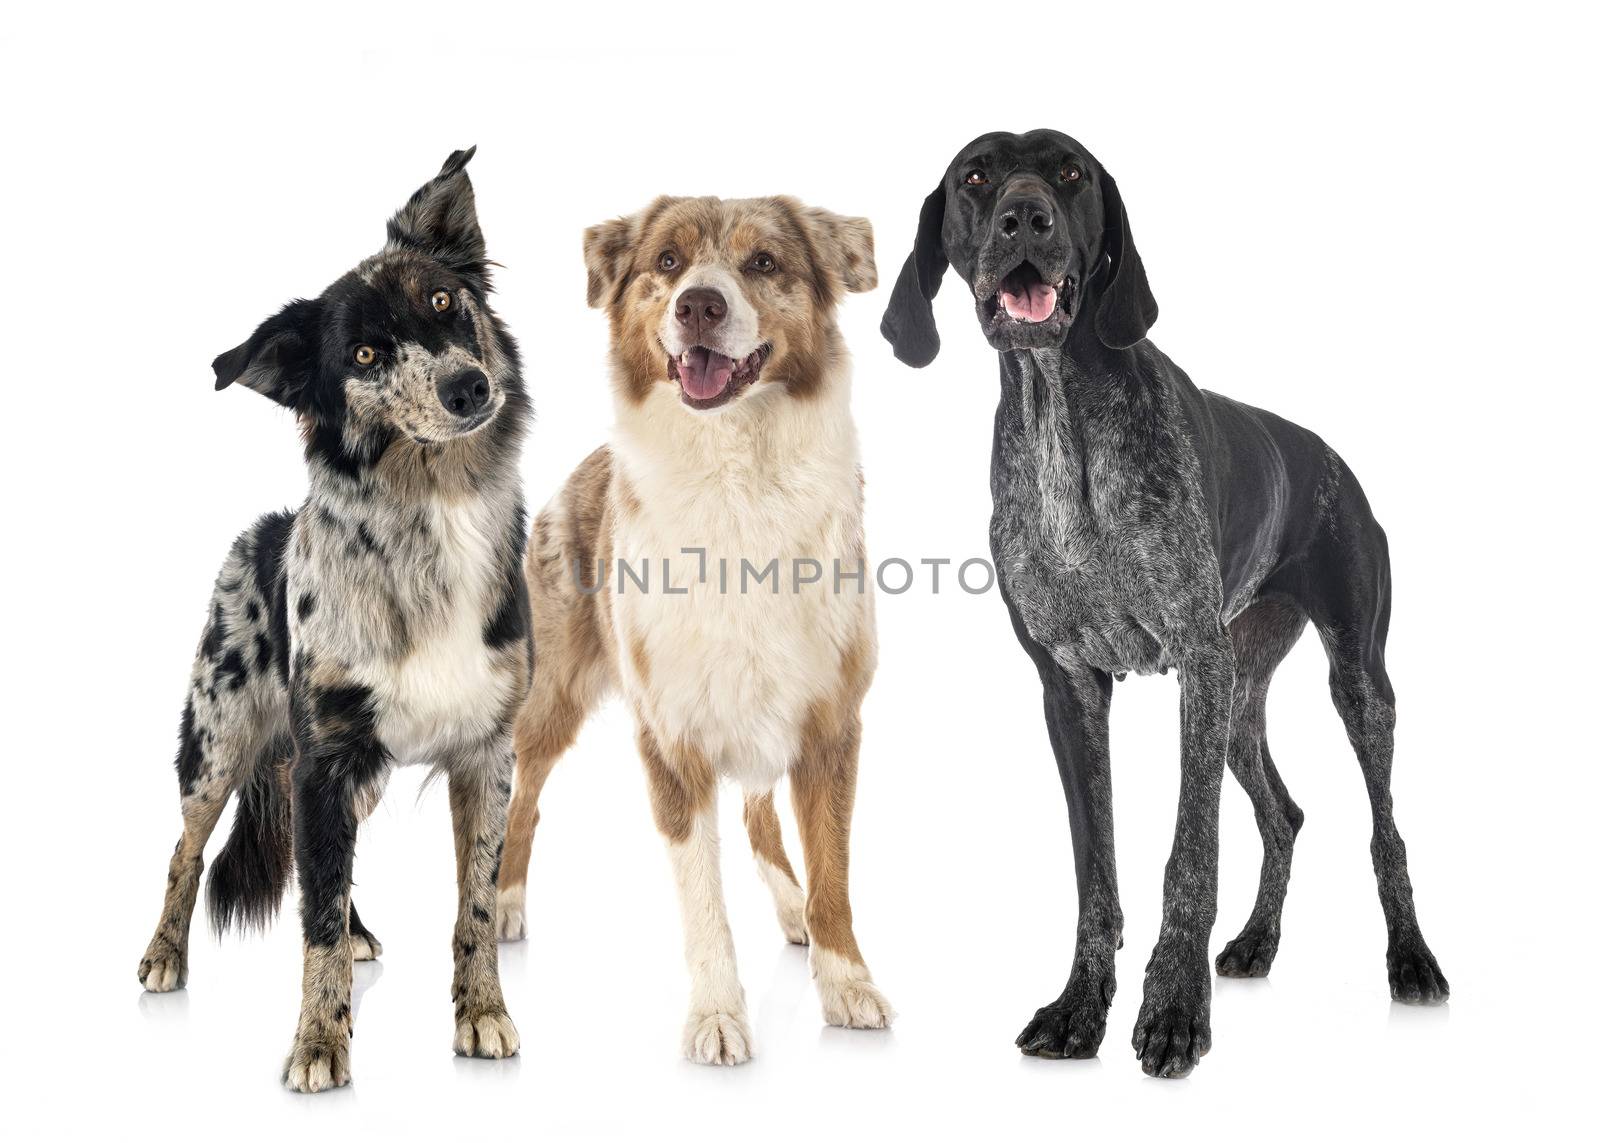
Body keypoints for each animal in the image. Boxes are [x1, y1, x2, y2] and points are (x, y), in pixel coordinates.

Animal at [135, 148, 534, 1088]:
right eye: (363, 353)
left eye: (443, 302)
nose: (469, 386)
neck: (432, 513)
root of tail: (264, 528)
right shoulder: (325, 761)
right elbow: (310, 913)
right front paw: (319, 1041)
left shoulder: (486, 752)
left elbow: (472, 904)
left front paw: (483, 1013)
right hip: (218, 742)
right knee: (185, 851)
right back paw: (164, 952)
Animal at [489, 196, 889, 1056]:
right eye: (667, 262)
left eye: (764, 262)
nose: (699, 305)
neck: (735, 476)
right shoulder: (671, 735)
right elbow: (702, 898)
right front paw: (716, 1016)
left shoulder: (829, 722)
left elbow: (833, 871)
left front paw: (846, 980)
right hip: (551, 693)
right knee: (523, 796)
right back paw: (500, 902)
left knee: (760, 817)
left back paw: (794, 914)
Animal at [883, 128, 1446, 1075]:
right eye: (975, 175)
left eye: (1070, 172)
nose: (1024, 217)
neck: (1059, 418)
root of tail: (1332, 456)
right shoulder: (1070, 684)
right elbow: (1095, 870)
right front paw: (1081, 1004)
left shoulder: (1194, 661)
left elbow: (1190, 857)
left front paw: (1175, 1008)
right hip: (1239, 699)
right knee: (1284, 813)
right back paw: (1257, 942)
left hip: (1350, 681)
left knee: (1386, 830)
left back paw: (1411, 958)